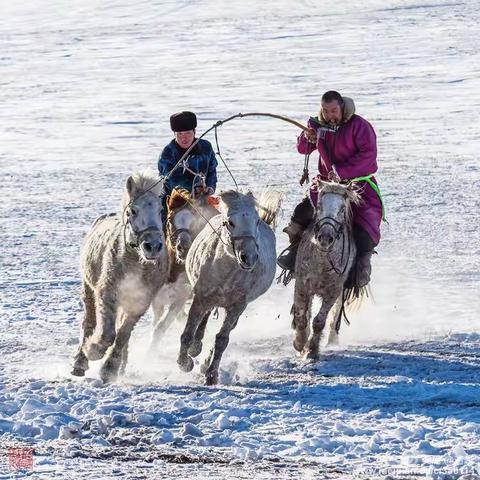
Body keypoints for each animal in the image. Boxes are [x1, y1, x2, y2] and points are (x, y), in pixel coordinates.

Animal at [70, 172, 170, 382]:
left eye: (160, 210)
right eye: (133, 210)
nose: (153, 246)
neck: (135, 263)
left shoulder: (139, 302)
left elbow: (123, 335)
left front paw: (110, 369)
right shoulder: (106, 293)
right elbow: (108, 334)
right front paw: (94, 350)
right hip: (88, 290)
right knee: (89, 322)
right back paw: (80, 362)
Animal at [150, 189, 218, 350]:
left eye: (193, 222)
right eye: (170, 221)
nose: (183, 247)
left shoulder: (180, 297)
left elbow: (160, 327)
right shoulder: (157, 298)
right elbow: (156, 324)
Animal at [176, 189, 282, 384]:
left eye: (256, 221)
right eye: (230, 222)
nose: (249, 257)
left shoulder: (237, 306)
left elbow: (222, 339)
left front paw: (211, 374)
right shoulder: (200, 297)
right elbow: (187, 333)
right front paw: (185, 363)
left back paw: (205, 362)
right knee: (204, 318)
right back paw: (195, 348)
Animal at [290, 180, 362, 360]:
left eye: (342, 209)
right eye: (319, 205)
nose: (325, 237)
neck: (322, 263)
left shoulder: (333, 291)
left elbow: (319, 321)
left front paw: (311, 350)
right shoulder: (302, 284)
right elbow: (301, 317)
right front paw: (299, 343)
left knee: (335, 315)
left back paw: (332, 340)